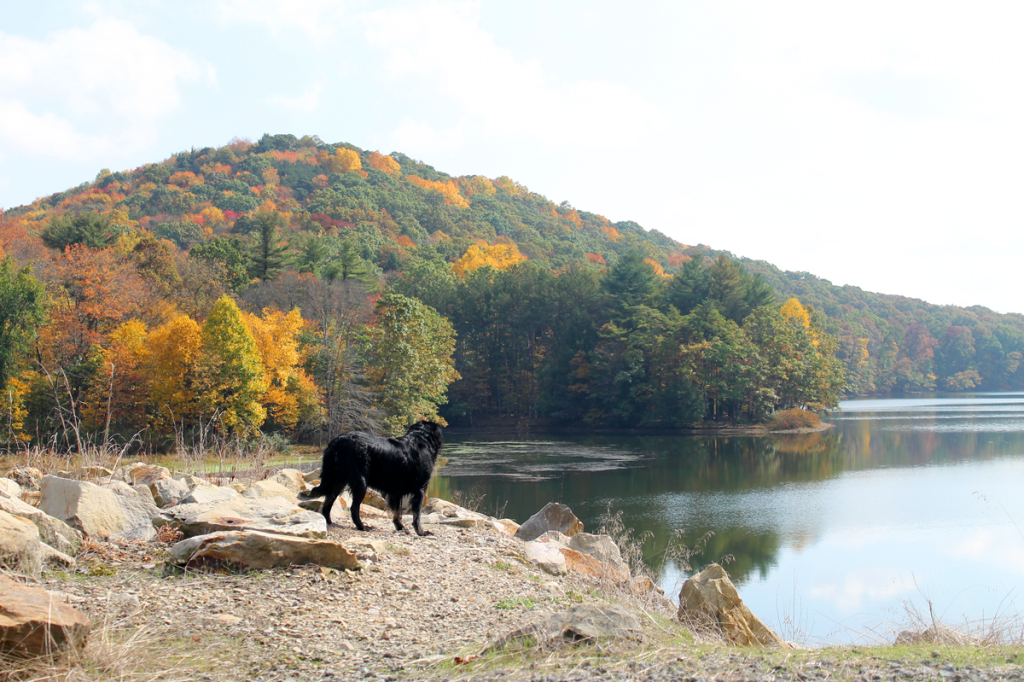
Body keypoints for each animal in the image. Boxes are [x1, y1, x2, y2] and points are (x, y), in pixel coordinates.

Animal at [305, 419, 446, 536]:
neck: (420, 437)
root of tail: (338, 441)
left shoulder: (396, 491)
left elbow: (397, 512)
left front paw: (400, 527)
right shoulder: (420, 489)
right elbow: (417, 515)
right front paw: (421, 532)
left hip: (337, 481)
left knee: (327, 503)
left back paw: (329, 522)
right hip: (360, 482)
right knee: (354, 508)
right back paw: (362, 527)